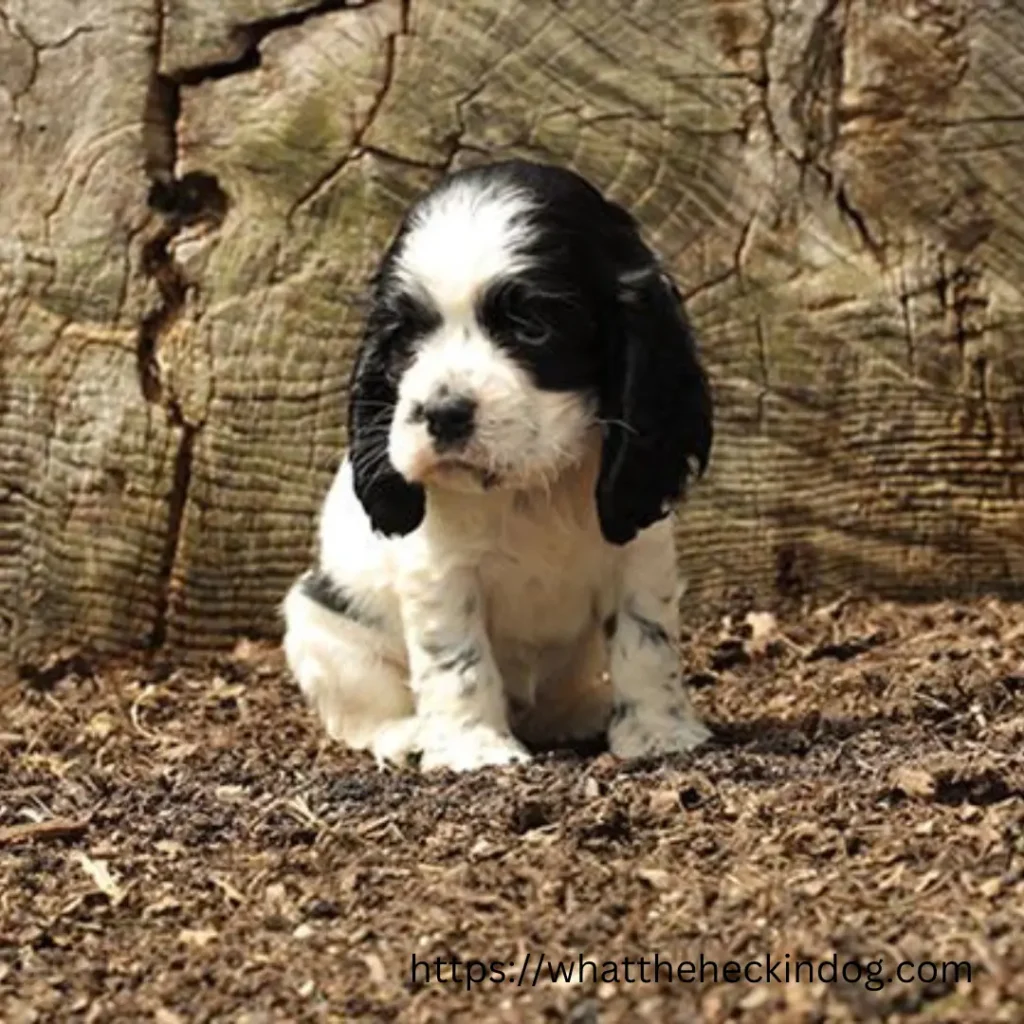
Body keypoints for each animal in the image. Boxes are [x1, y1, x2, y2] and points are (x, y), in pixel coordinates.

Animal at [280, 157, 712, 770]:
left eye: (532, 327)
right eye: (406, 337)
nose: (442, 413)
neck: (533, 489)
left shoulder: (639, 552)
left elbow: (644, 641)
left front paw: (658, 731)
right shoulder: (439, 570)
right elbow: (457, 659)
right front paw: (473, 748)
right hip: (320, 623)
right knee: (360, 712)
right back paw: (406, 735)